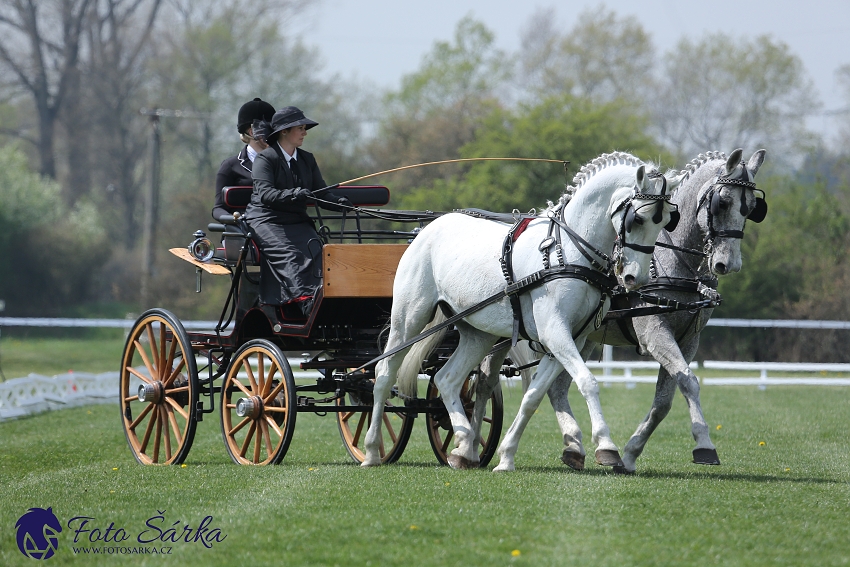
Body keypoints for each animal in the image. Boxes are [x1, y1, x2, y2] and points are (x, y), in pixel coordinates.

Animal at [360, 152, 684, 470]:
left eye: (667, 220)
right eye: (638, 218)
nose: (634, 278)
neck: (569, 250)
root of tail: (428, 228)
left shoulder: (570, 338)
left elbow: (533, 396)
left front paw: (506, 456)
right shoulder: (555, 332)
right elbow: (588, 382)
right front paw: (606, 446)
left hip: (478, 334)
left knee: (447, 379)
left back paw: (464, 445)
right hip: (408, 320)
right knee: (384, 373)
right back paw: (372, 451)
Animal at [506, 149, 764, 472]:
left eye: (752, 208)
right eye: (723, 202)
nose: (727, 264)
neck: (671, 260)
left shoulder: (688, 340)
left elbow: (665, 400)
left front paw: (630, 453)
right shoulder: (655, 334)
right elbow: (689, 382)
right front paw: (704, 444)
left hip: (583, 338)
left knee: (557, 387)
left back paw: (573, 446)